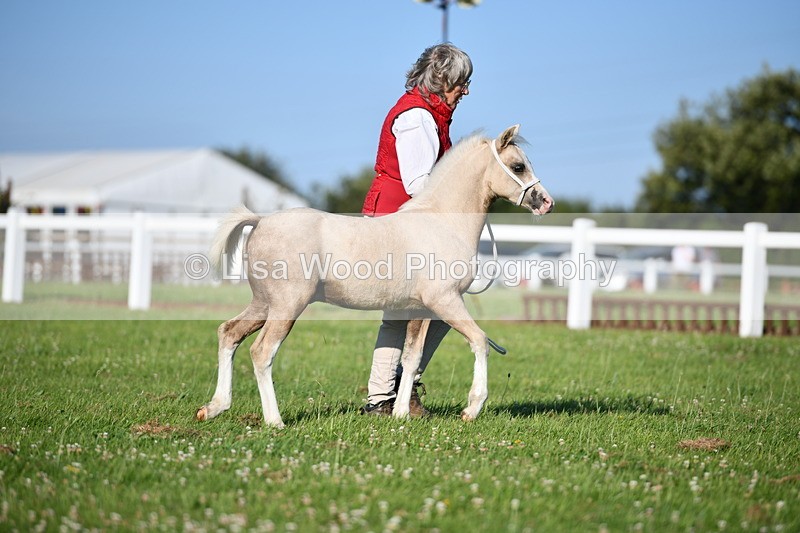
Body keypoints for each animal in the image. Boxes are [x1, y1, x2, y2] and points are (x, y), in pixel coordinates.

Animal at [196, 125, 554, 428]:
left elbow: (411, 357)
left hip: (263, 304)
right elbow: (479, 341)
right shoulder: (445, 302)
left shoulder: (418, 310)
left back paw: (214, 408)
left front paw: (401, 413)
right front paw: (472, 408)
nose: (546, 202)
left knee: (228, 333)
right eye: (518, 166)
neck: (441, 223)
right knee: (262, 352)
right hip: (287, 306)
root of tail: (260, 221)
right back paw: (274, 421)